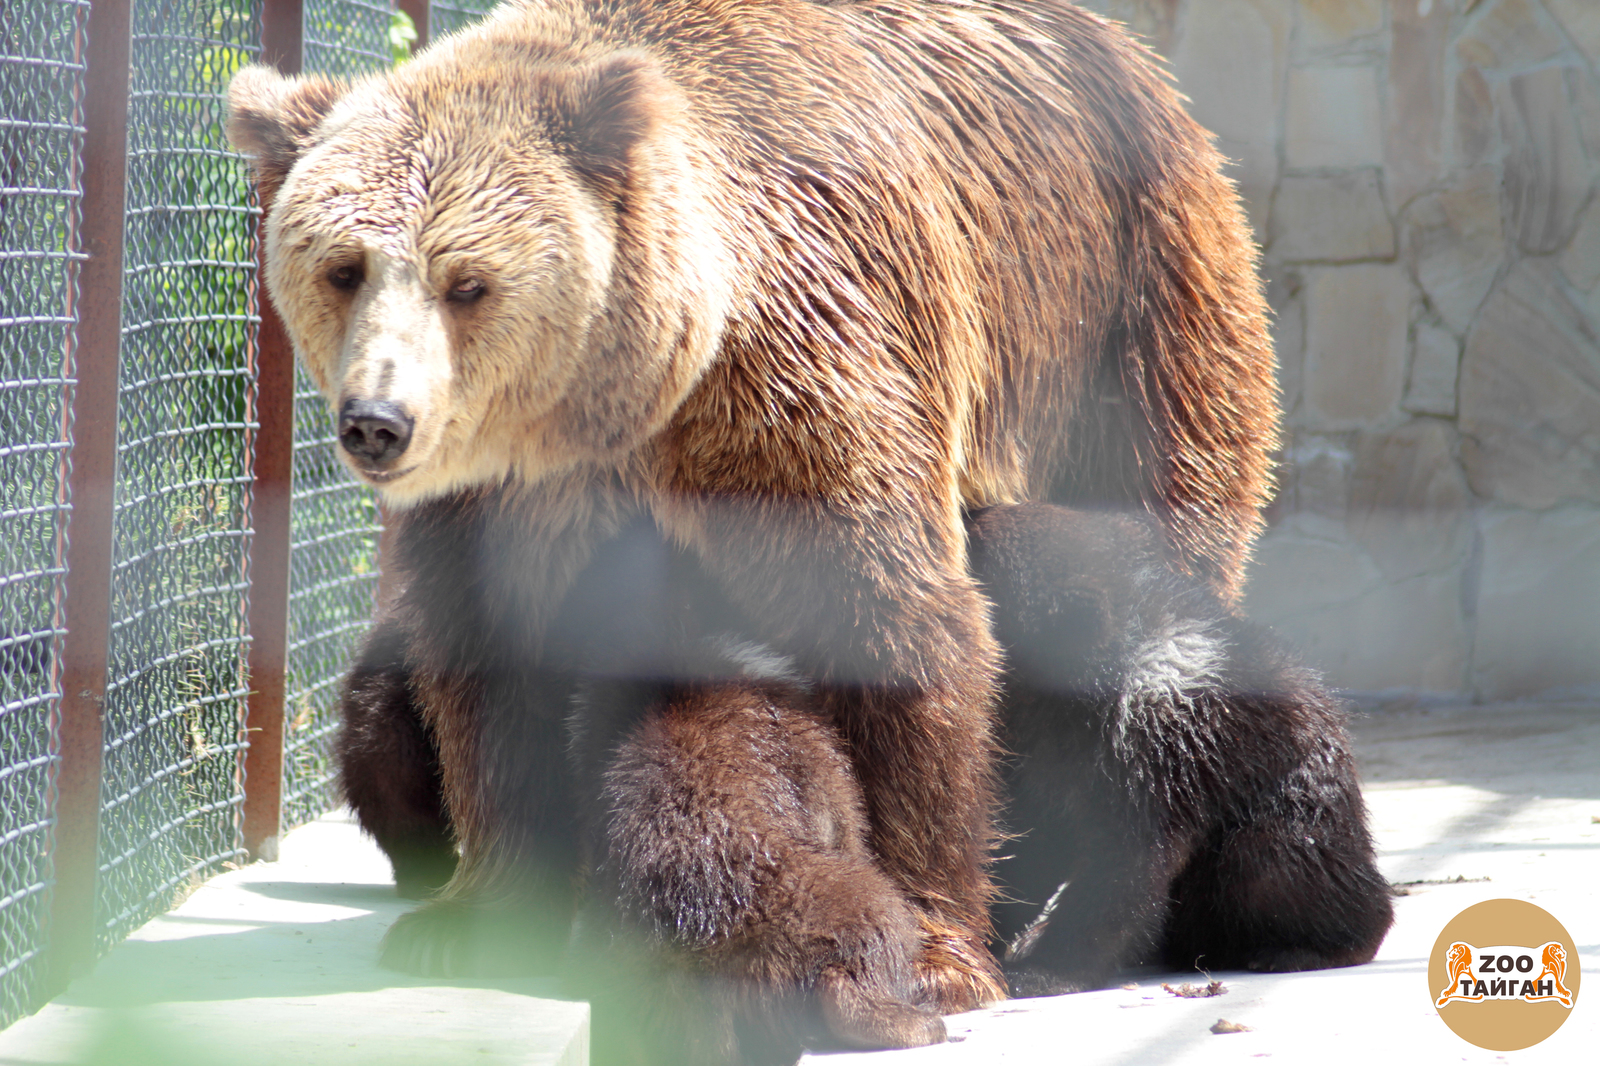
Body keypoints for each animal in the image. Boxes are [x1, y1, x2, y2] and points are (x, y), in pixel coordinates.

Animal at [225, 0, 1273, 1049]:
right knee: (380, 710)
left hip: (1131, 320)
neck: (633, 398)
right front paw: (477, 920)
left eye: (467, 281)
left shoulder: (805, 385)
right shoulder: (498, 503)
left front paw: (939, 953)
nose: (378, 419)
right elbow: (491, 671)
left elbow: (891, 625)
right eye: (344, 268)